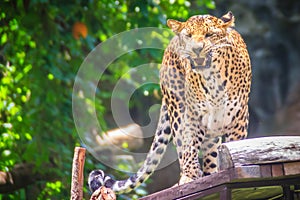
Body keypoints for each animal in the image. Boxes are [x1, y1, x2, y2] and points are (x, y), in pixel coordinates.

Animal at [88, 10, 251, 194]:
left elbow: (234, 145)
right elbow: (189, 147)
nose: (196, 49)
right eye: (188, 36)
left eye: (209, 34)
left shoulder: (238, 118)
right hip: (178, 107)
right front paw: (190, 177)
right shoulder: (192, 115)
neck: (211, 77)